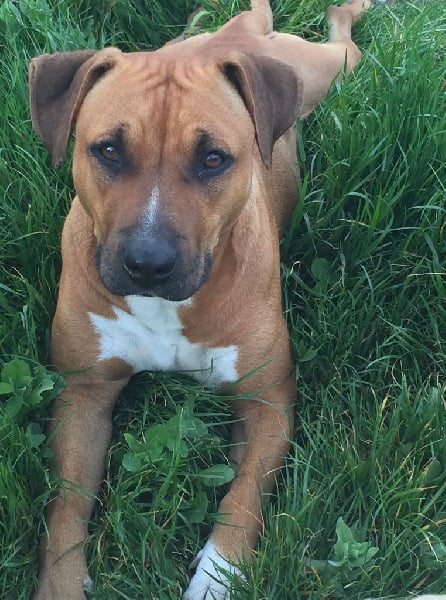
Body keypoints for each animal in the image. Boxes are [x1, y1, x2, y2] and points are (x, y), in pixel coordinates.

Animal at [27, 1, 370, 596]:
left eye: (213, 158)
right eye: (108, 149)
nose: (148, 262)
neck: (167, 310)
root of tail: (241, 31)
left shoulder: (266, 403)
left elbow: (245, 495)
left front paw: (218, 575)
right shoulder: (82, 394)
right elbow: (65, 505)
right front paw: (61, 584)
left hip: (327, 70)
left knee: (345, 41)